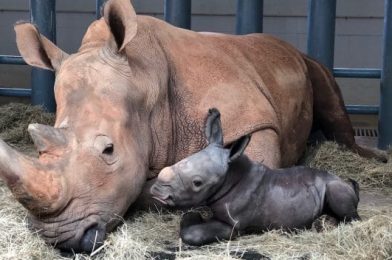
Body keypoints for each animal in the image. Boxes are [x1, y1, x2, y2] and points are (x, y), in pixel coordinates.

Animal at [151, 108, 362, 246]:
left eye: (197, 183)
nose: (156, 191)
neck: (230, 176)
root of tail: (347, 183)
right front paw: (194, 215)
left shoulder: (234, 225)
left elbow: (192, 234)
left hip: (334, 185)